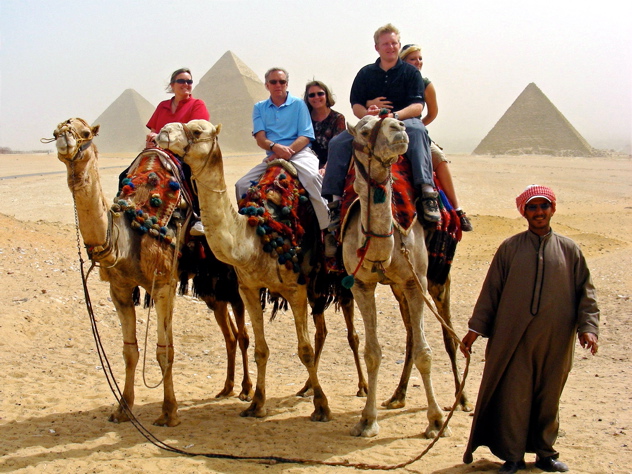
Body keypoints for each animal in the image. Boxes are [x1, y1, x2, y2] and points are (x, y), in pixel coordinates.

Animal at [53, 119, 252, 430]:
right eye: (55, 131)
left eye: (85, 133)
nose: (64, 138)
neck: (125, 235)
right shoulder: (119, 289)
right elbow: (129, 351)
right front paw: (123, 408)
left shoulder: (164, 285)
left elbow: (164, 350)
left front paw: (169, 412)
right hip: (211, 290)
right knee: (230, 335)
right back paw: (227, 388)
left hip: (231, 282)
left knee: (242, 334)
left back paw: (245, 390)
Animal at [156, 120, 330, 420]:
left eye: (197, 131)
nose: (164, 131)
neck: (256, 238)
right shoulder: (247, 288)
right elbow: (260, 348)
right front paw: (257, 403)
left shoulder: (295, 288)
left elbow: (304, 350)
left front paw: (322, 407)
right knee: (322, 330)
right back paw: (306, 387)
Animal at [340, 114, 450, 436]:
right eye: (364, 131)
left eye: (393, 121)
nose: (398, 127)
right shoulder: (361, 285)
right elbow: (373, 352)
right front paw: (367, 419)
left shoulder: (417, 282)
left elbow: (426, 352)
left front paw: (436, 420)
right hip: (398, 288)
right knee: (411, 336)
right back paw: (397, 396)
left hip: (436, 280)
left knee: (446, 332)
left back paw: (462, 400)